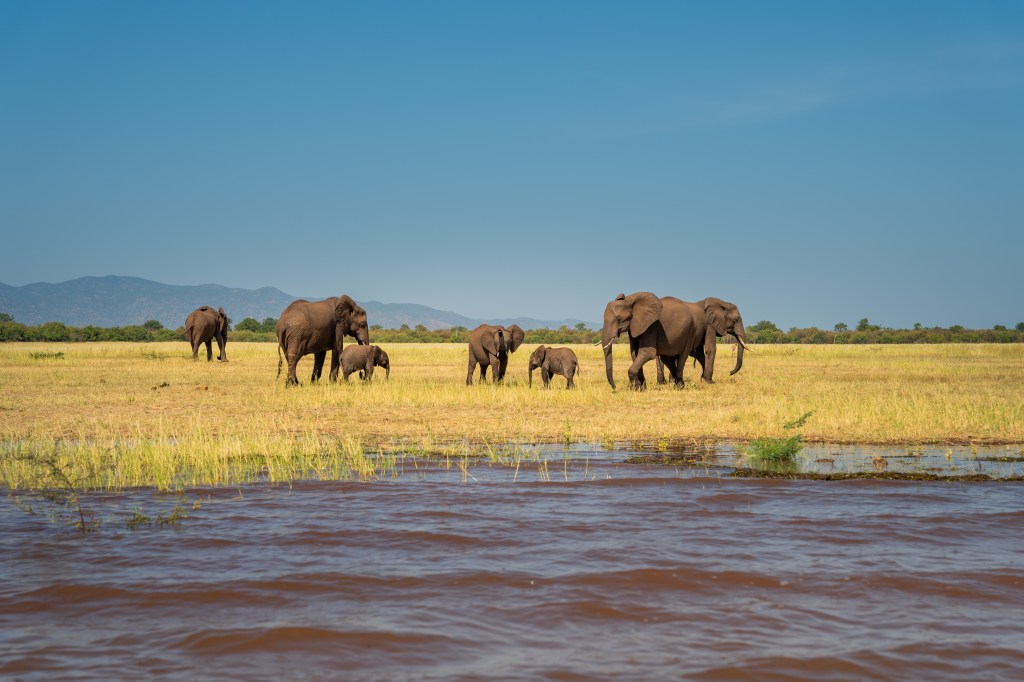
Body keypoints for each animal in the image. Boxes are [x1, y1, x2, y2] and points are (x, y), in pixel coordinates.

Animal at [600, 293, 748, 390]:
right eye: (736, 320)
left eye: (618, 319)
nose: (614, 387)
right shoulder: (636, 326)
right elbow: (634, 352)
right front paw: (638, 387)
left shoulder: (652, 325)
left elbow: (648, 352)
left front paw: (708, 382)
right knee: (669, 358)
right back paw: (674, 382)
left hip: (690, 330)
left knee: (682, 356)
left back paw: (679, 385)